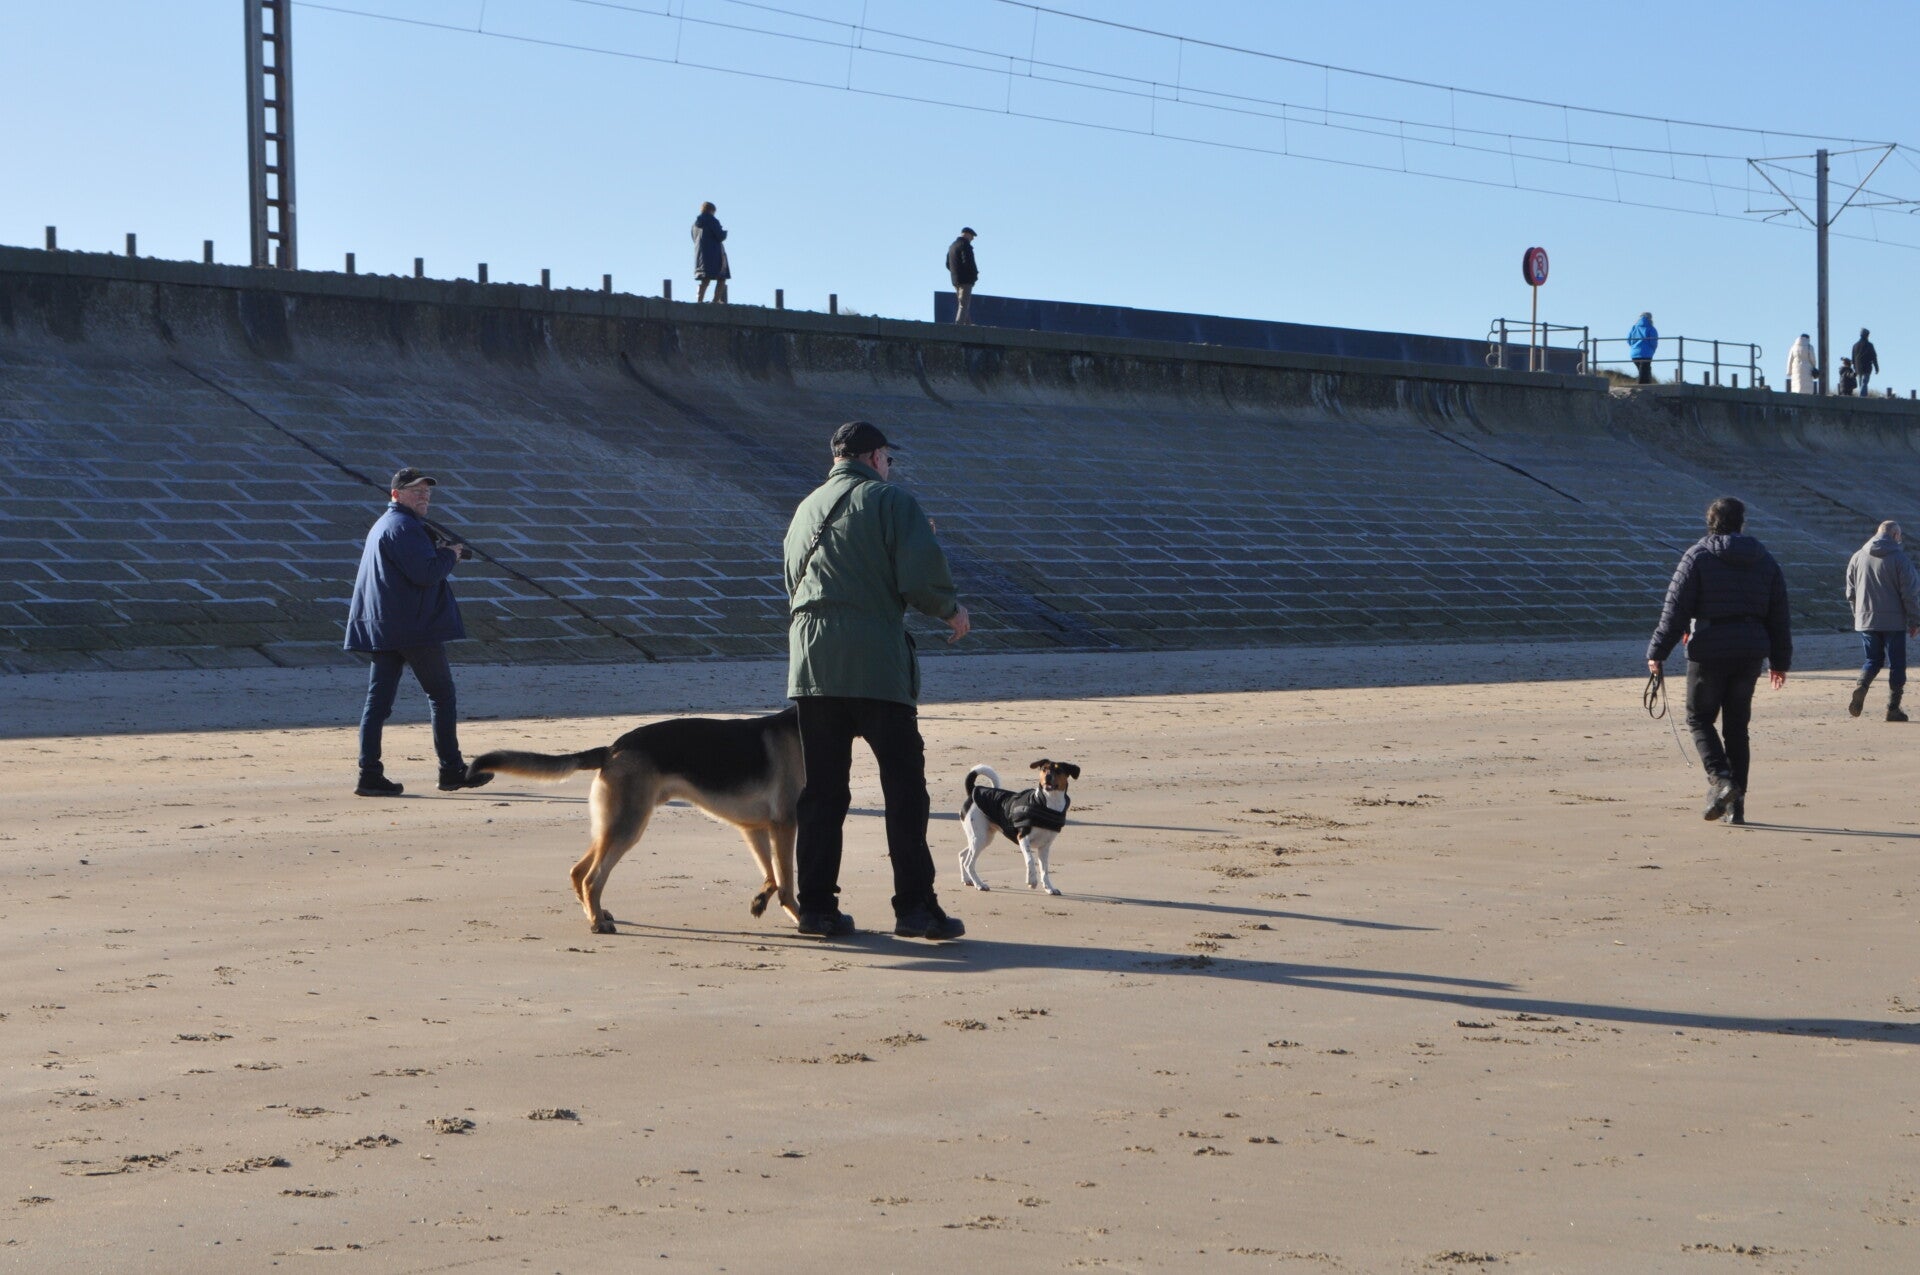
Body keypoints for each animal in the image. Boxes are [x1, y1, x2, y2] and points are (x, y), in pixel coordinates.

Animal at [468, 708, 803, 934]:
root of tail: (612, 749)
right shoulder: (785, 825)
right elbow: (786, 881)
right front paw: (800, 918)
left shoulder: (755, 828)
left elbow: (773, 875)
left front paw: (760, 900)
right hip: (628, 827)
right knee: (592, 878)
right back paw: (597, 922)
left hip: (614, 827)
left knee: (579, 871)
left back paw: (596, 913)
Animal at [958, 759, 1081, 895]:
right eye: (1044, 769)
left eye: (1059, 770)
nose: (1048, 777)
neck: (1048, 805)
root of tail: (972, 791)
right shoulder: (1023, 838)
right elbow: (1030, 860)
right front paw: (1032, 881)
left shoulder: (1045, 847)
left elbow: (1044, 869)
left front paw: (1049, 888)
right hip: (979, 837)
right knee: (969, 864)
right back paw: (979, 884)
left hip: (983, 838)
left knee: (962, 855)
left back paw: (967, 880)